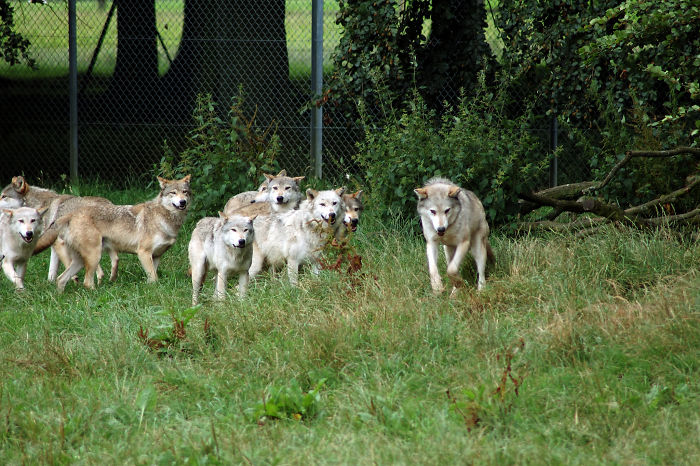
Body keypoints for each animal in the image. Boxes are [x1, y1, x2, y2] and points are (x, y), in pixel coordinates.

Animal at [55, 175, 191, 291]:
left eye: (185, 192)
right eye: (173, 192)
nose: (183, 202)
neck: (165, 219)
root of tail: (72, 214)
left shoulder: (156, 256)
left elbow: (152, 278)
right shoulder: (143, 253)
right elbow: (154, 279)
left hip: (80, 261)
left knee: (60, 279)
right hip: (94, 256)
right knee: (87, 283)